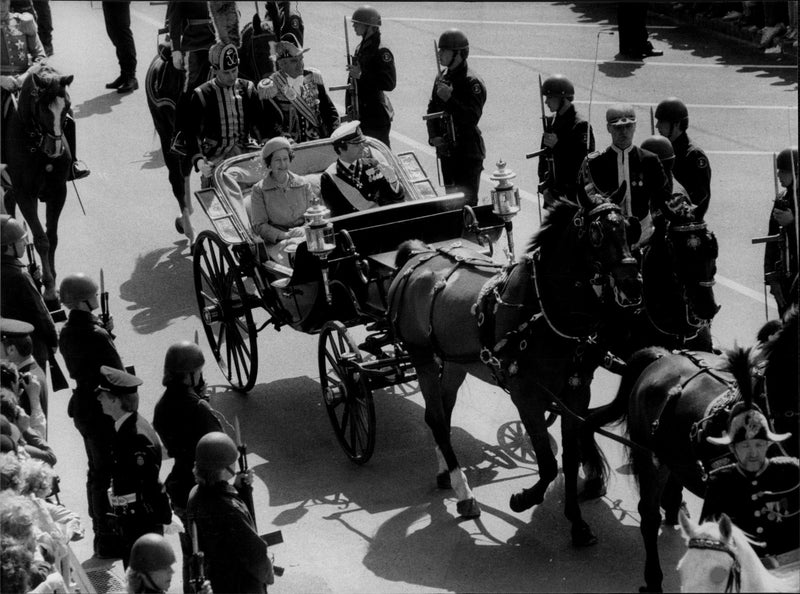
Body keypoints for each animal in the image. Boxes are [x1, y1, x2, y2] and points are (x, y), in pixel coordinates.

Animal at [3, 64, 73, 302]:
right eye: (43, 107)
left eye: (67, 105)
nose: (55, 149)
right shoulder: (26, 194)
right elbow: (41, 238)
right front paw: (49, 288)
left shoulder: (58, 191)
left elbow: (52, 237)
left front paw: (53, 280)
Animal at [388, 183, 644, 544]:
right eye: (595, 233)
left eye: (628, 228)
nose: (632, 283)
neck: (541, 310)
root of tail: (418, 254)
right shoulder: (527, 395)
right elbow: (548, 462)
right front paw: (524, 499)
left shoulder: (576, 393)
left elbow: (570, 457)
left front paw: (577, 523)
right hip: (421, 356)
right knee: (436, 420)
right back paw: (464, 493)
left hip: (454, 363)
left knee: (440, 416)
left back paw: (445, 474)